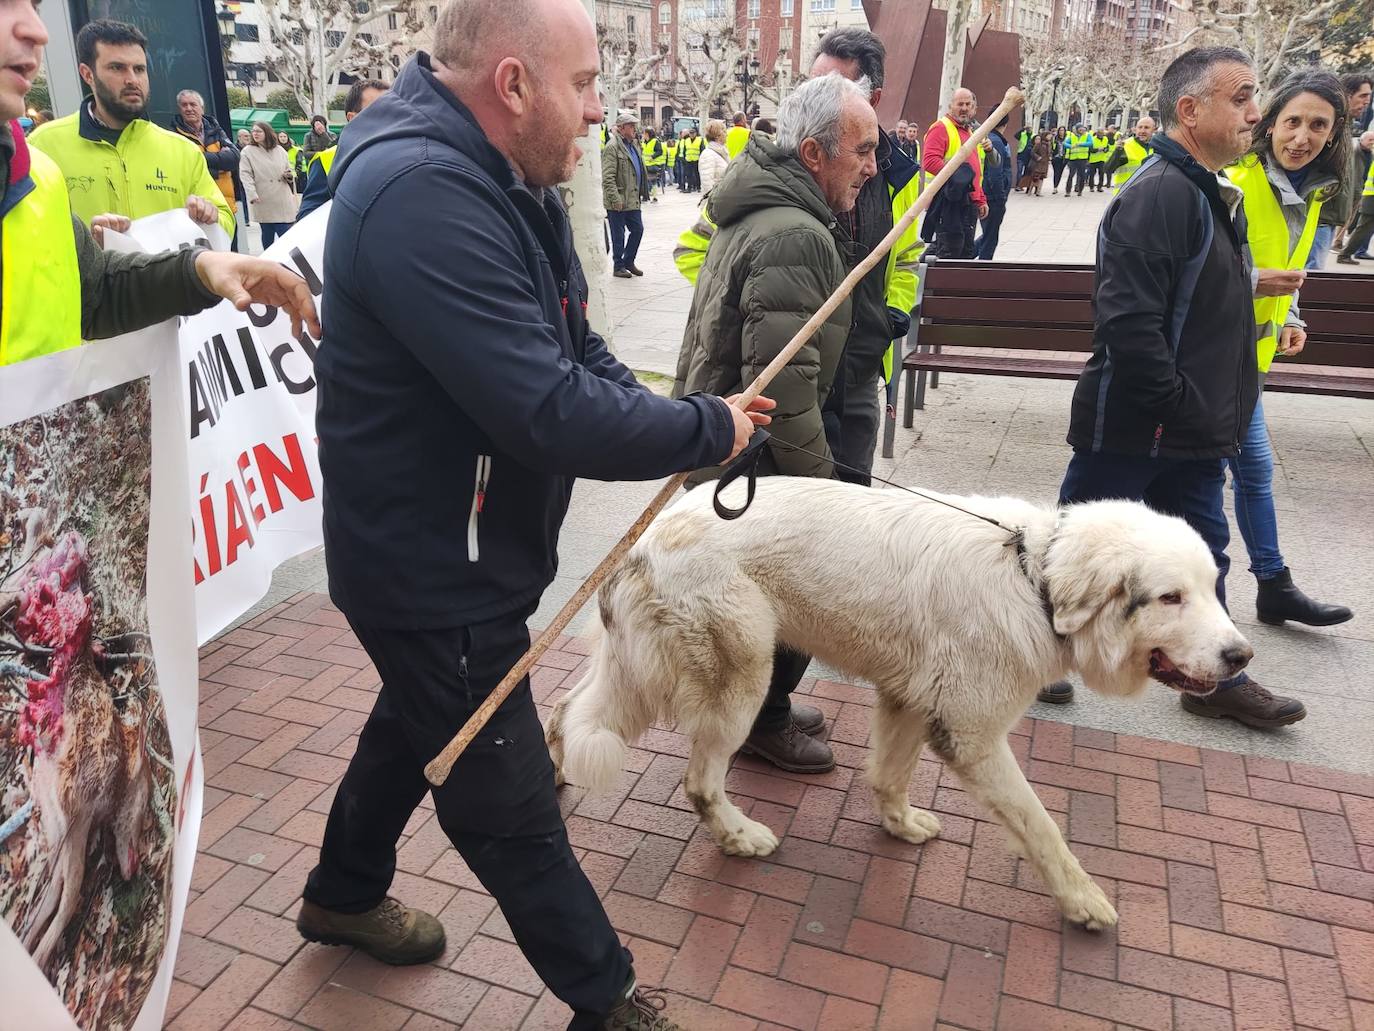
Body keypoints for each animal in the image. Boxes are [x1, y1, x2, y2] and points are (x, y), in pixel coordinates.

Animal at [544, 481, 1247, 934]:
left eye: (1213, 588)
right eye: (1170, 597)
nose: (1241, 657)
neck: (1034, 580)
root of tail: (646, 537)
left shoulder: (910, 701)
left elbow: (889, 775)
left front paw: (900, 826)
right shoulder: (973, 736)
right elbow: (1042, 827)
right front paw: (1082, 900)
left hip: (636, 674)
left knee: (563, 710)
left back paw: (551, 772)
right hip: (734, 682)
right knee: (698, 782)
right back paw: (739, 838)